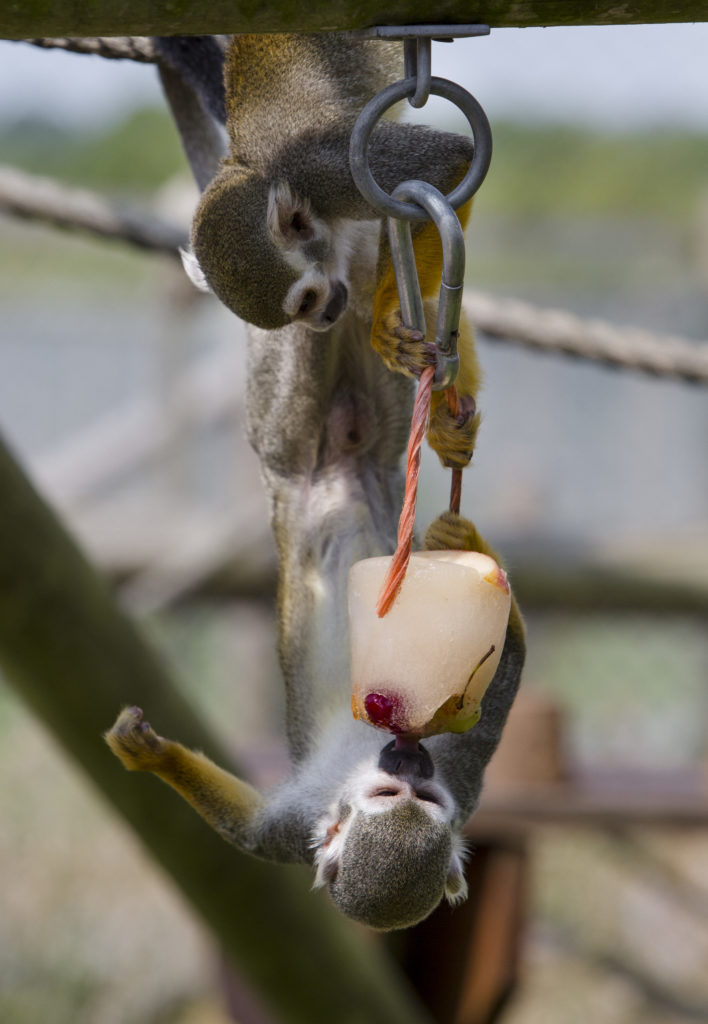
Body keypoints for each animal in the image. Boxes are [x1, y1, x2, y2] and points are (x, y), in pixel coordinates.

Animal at [106, 34, 524, 929]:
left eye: (427, 805)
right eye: (386, 799)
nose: (408, 763)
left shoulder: (464, 770)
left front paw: (463, 538)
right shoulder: (305, 822)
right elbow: (255, 833)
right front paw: (154, 755)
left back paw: (435, 391)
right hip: (279, 398)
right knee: (293, 446)